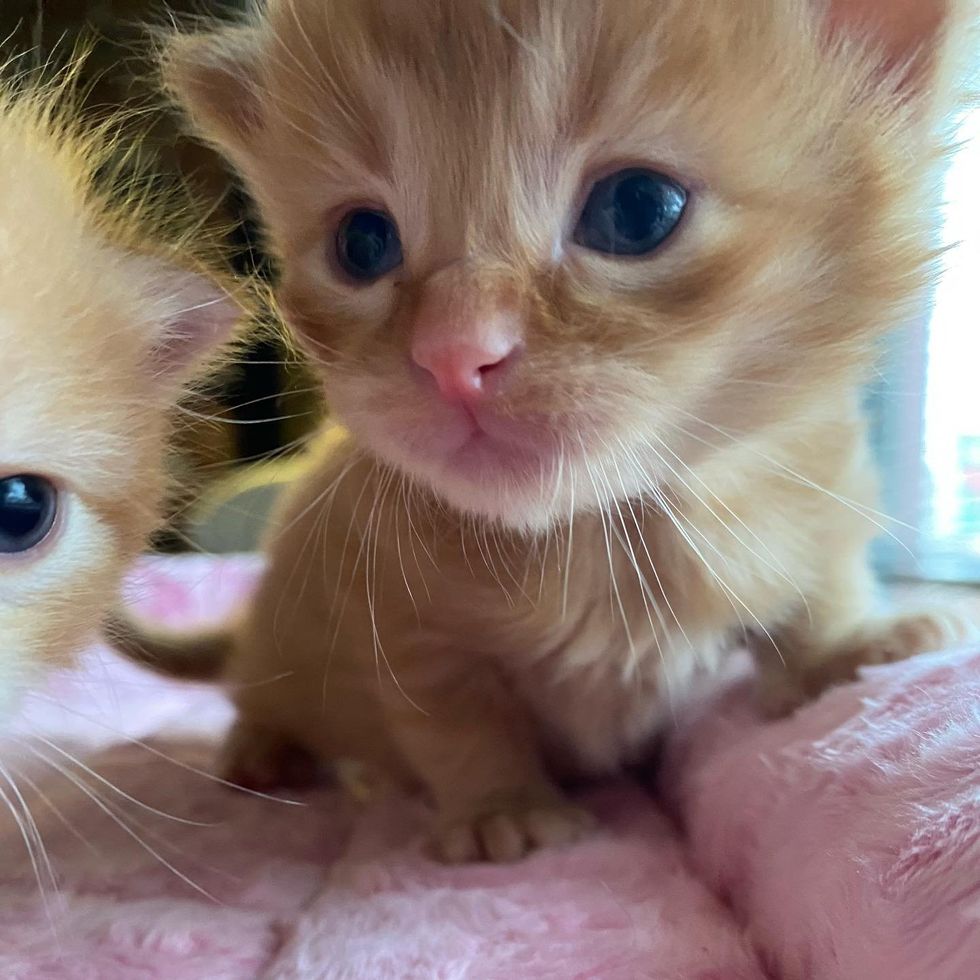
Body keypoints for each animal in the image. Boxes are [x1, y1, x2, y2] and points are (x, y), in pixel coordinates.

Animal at [113, 0, 972, 856]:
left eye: (637, 208)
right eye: (362, 243)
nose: (453, 353)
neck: (603, 536)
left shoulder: (815, 487)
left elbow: (819, 585)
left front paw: (851, 646)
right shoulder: (401, 616)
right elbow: (459, 719)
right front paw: (505, 808)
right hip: (284, 644)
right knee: (260, 693)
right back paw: (266, 748)